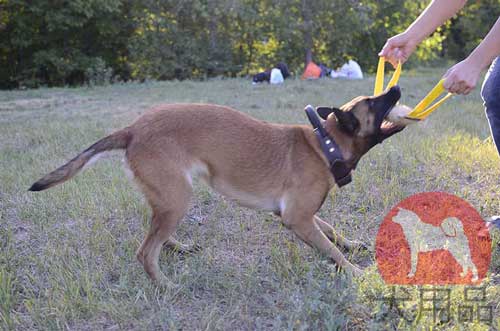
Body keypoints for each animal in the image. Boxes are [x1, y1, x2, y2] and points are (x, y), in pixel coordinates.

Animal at [29, 85, 404, 282]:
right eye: (373, 103)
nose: (396, 88)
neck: (325, 144)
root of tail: (133, 129)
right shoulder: (296, 218)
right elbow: (329, 248)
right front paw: (355, 271)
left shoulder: (296, 213)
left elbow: (330, 230)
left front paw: (351, 244)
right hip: (178, 198)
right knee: (145, 251)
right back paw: (164, 285)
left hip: (168, 197)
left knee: (156, 234)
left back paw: (178, 247)